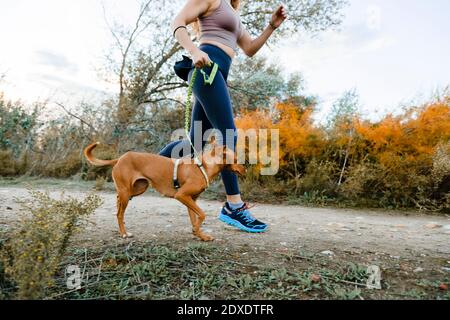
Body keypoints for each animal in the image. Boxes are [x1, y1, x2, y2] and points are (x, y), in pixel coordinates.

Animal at [84, 141, 246, 241]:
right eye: (235, 159)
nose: (245, 168)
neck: (203, 167)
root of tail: (120, 158)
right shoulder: (181, 195)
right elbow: (202, 215)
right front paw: (198, 232)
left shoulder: (191, 199)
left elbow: (195, 218)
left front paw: (200, 235)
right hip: (127, 192)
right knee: (119, 213)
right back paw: (124, 233)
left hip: (136, 189)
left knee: (118, 202)